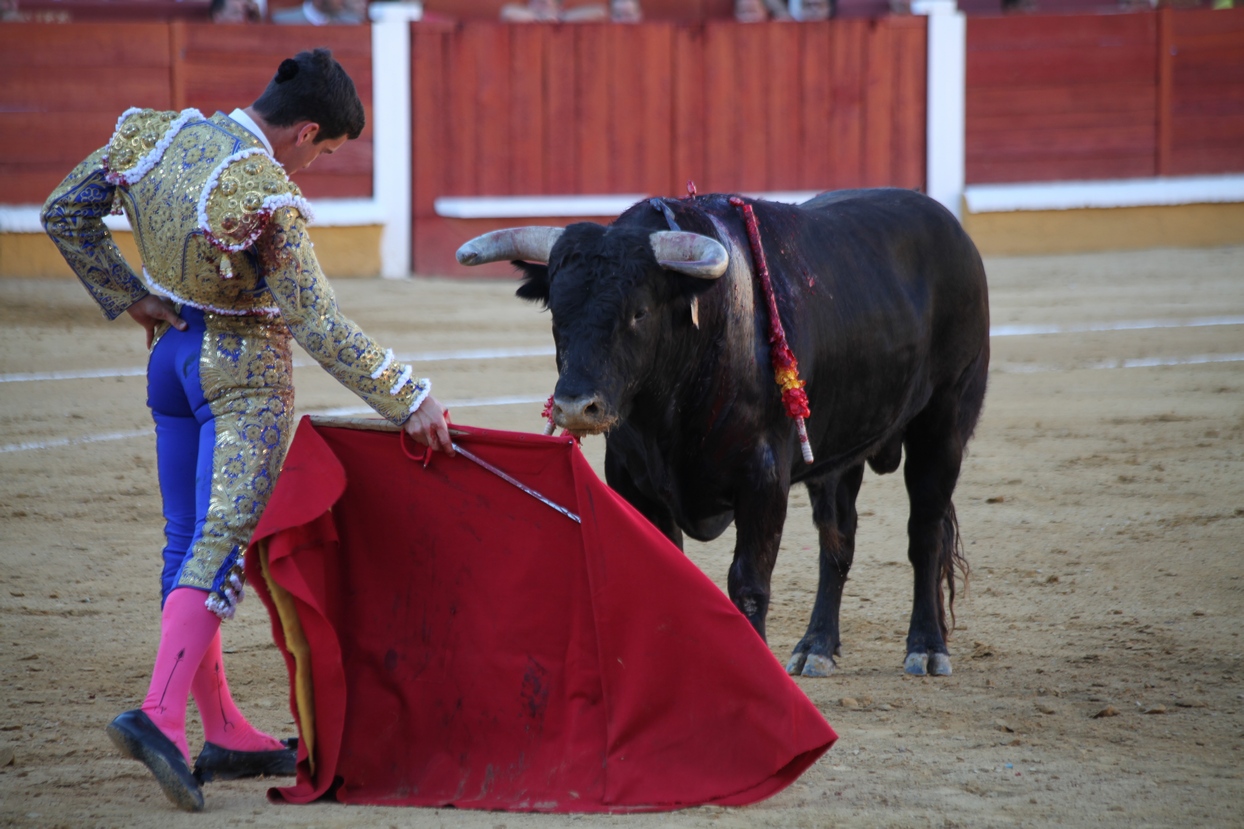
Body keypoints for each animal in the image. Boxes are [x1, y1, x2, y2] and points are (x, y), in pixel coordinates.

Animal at [457, 186, 990, 672]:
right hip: (842, 446)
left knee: (924, 532)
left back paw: (926, 648)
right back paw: (816, 648)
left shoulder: (764, 481)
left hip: (943, 421)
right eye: (557, 312)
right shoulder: (632, 483)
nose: (574, 406)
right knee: (838, 537)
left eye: (639, 311)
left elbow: (748, 583)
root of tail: (952, 229)